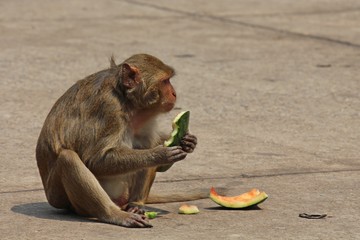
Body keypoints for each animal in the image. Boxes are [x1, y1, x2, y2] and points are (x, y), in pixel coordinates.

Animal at [35, 53, 202, 228]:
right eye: (165, 81)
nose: (174, 93)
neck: (127, 101)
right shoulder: (109, 109)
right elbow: (95, 160)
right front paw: (160, 154)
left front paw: (188, 141)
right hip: (64, 199)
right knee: (68, 158)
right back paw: (113, 214)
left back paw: (137, 204)